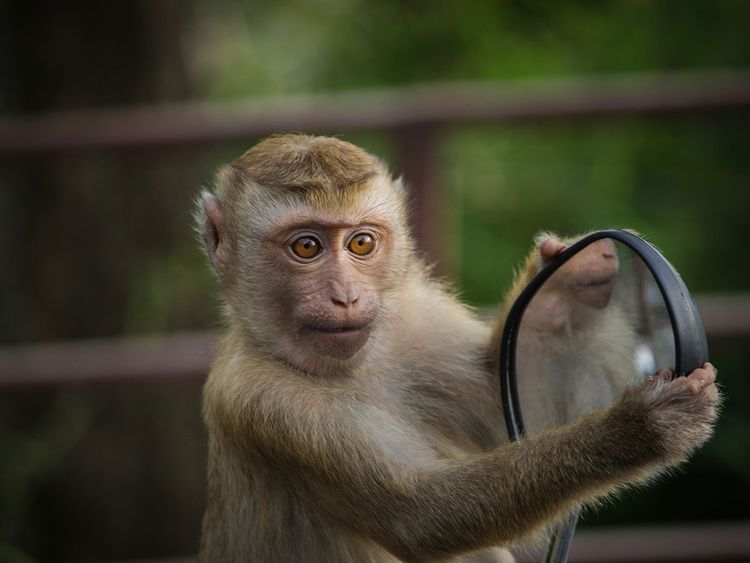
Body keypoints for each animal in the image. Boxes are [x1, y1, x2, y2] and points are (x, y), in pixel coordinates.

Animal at [197, 133, 720, 563]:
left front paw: (563, 284)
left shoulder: (418, 320)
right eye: (306, 247)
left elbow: (508, 409)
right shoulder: (263, 401)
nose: (345, 296)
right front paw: (634, 430)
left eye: (362, 243)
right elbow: (424, 515)